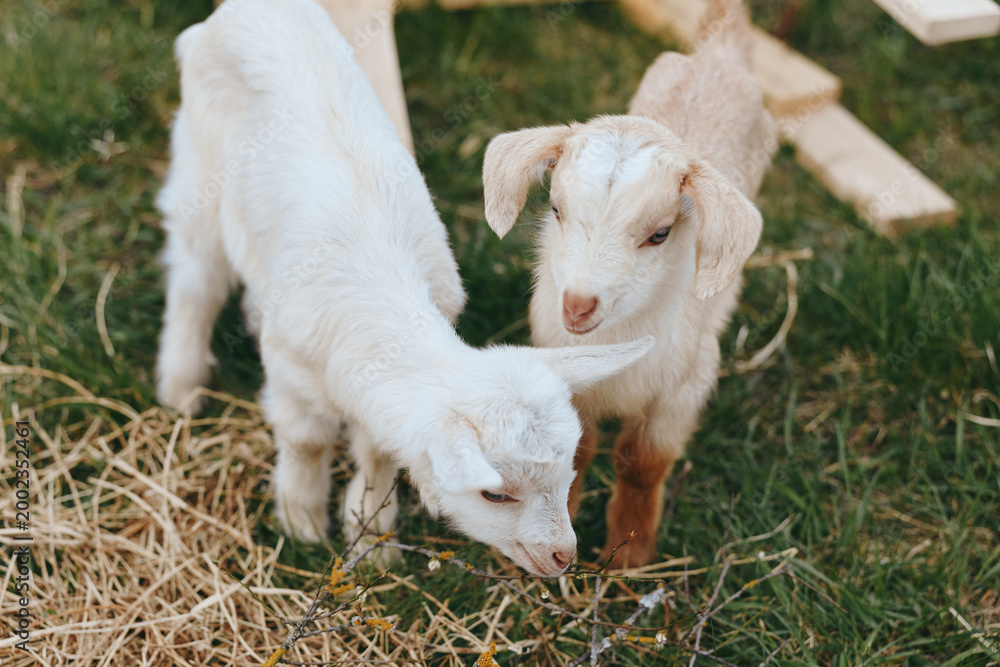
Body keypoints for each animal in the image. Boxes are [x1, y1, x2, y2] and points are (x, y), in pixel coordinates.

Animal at [481, 0, 776, 568]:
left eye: (660, 234)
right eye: (555, 209)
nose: (577, 306)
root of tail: (718, 55)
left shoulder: (684, 388)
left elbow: (641, 463)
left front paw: (627, 556)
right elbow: (575, 451)